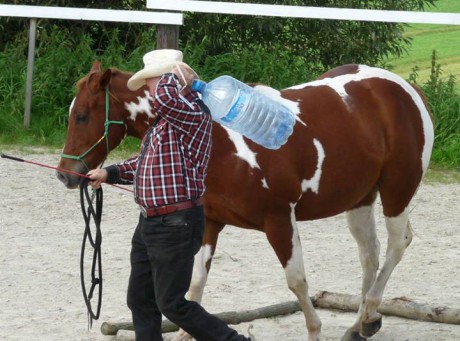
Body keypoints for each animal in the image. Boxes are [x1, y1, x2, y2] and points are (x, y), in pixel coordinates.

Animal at [55, 61, 434, 340]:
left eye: (82, 115)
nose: (66, 174)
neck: (222, 140)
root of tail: (406, 90)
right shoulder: (209, 222)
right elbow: (195, 284)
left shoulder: (279, 220)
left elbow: (297, 281)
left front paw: (314, 330)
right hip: (360, 198)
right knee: (369, 253)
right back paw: (361, 324)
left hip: (397, 190)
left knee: (397, 243)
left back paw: (368, 313)